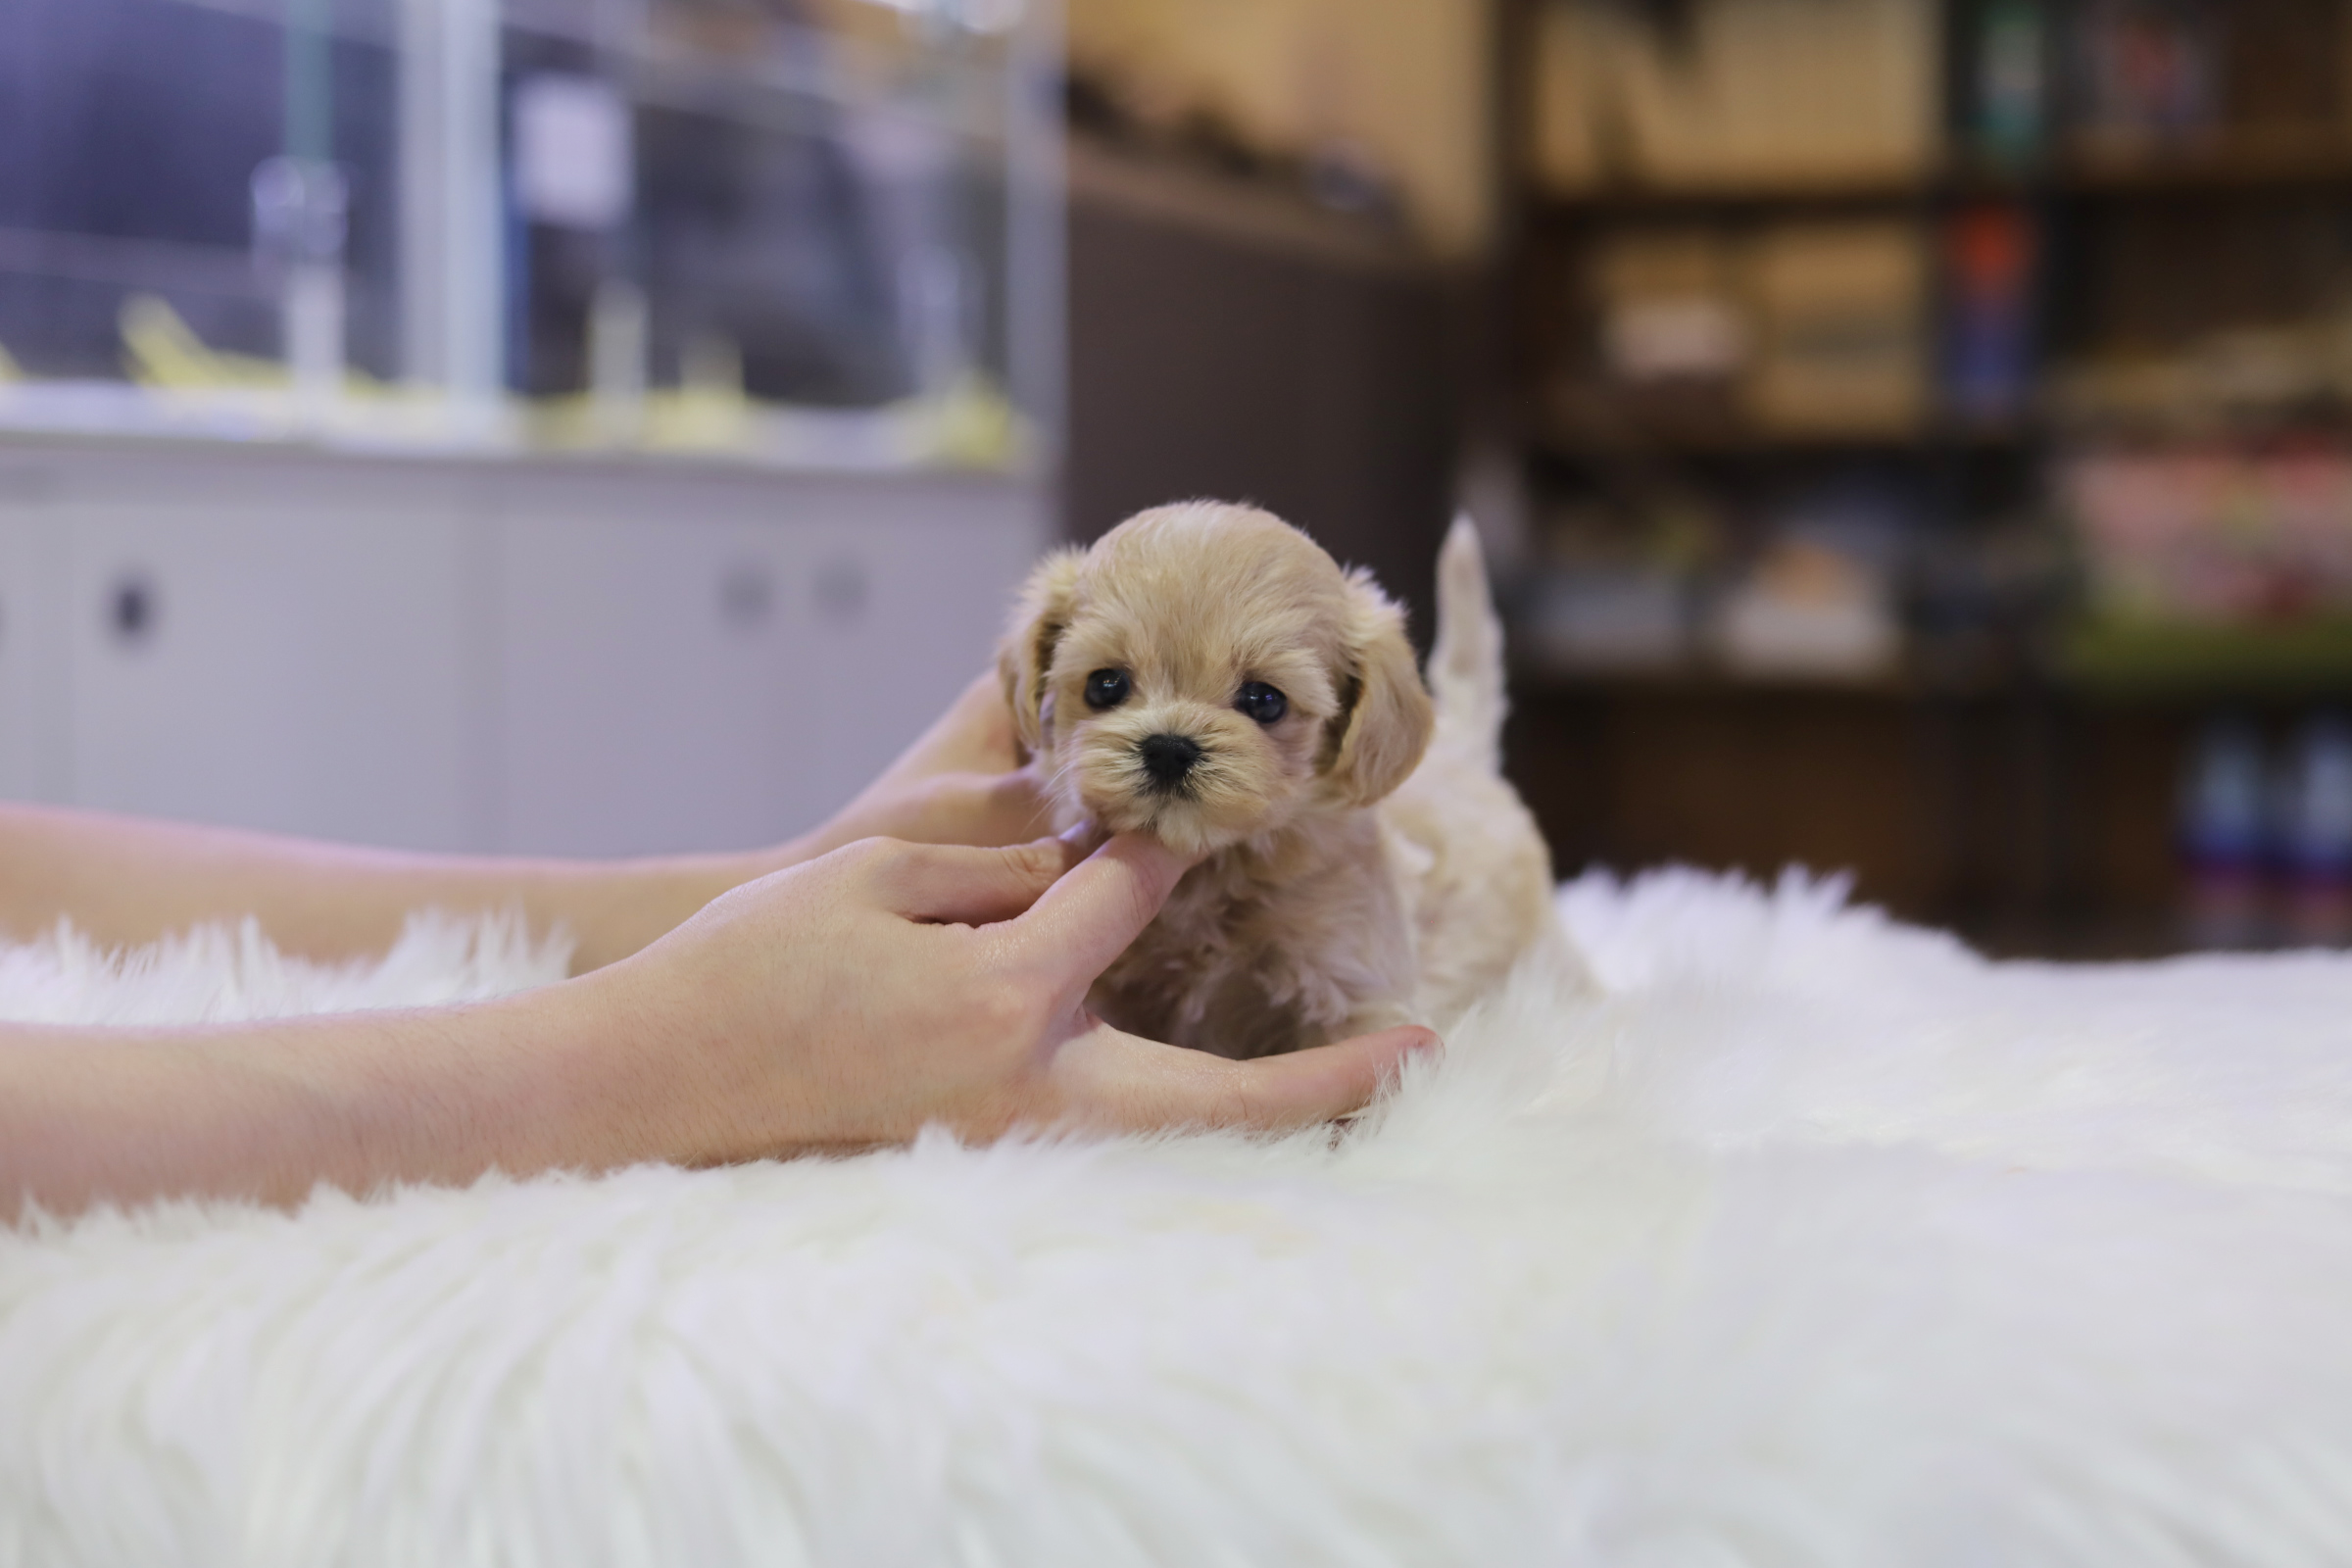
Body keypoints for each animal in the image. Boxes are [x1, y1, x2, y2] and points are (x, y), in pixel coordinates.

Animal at [997, 500, 1580, 1067]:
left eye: (1265, 700)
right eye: (1105, 685)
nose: (1168, 748)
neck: (1216, 872)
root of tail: (1462, 747)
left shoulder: (1357, 986)